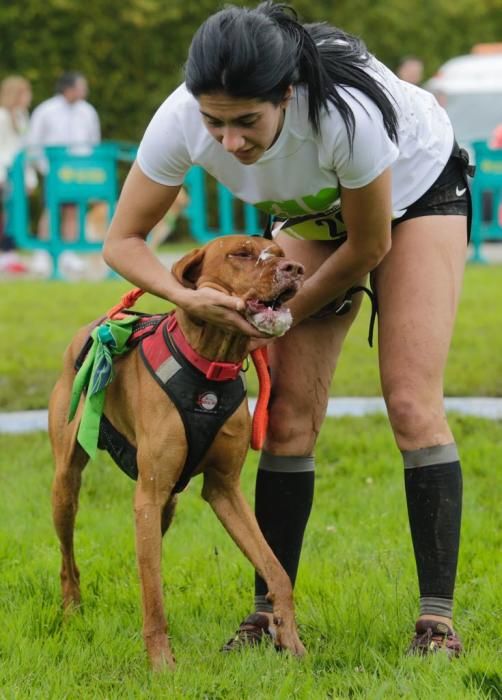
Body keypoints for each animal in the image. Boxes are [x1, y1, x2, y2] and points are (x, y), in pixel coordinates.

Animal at [49, 234, 304, 668]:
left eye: (282, 255)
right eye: (241, 253)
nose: (296, 269)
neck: (210, 368)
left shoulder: (224, 489)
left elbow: (276, 570)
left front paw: (291, 639)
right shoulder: (148, 496)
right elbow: (155, 598)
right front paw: (161, 664)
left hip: (168, 502)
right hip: (67, 484)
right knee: (69, 559)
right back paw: (71, 612)